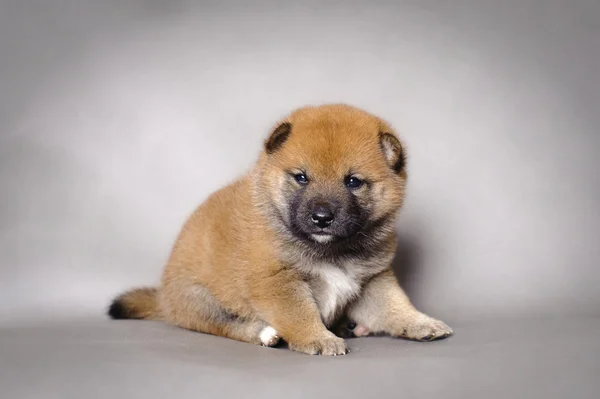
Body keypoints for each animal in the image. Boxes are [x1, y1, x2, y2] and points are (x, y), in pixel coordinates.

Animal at [109, 103, 454, 356]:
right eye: (301, 177)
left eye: (353, 182)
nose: (321, 217)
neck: (330, 249)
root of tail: (164, 300)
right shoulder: (277, 281)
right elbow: (300, 315)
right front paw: (319, 339)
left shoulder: (373, 280)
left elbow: (396, 306)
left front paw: (421, 323)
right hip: (200, 300)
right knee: (225, 324)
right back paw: (266, 333)